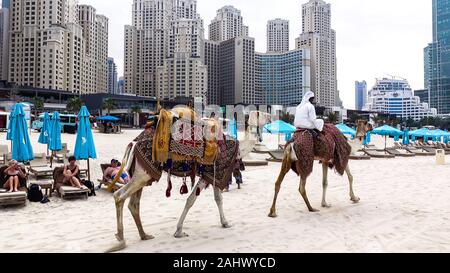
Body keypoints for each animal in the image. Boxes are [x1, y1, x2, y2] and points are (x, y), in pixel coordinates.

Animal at [107, 105, 243, 251]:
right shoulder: (213, 172)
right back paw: (121, 239)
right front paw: (179, 231)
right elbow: (197, 200)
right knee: (119, 196)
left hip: (142, 172)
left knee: (133, 204)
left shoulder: (212, 174)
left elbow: (213, 199)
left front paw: (224, 223)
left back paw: (144, 235)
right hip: (143, 173)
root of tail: (134, 143)